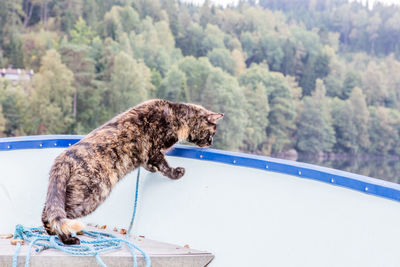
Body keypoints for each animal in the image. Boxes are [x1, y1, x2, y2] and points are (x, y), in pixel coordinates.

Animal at [42, 100, 223, 245]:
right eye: (212, 132)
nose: (211, 142)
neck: (176, 115)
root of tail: (64, 158)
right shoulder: (155, 151)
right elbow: (165, 167)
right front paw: (177, 173)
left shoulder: (148, 156)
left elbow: (150, 165)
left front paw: (152, 169)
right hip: (90, 196)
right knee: (61, 216)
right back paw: (68, 239)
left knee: (47, 215)